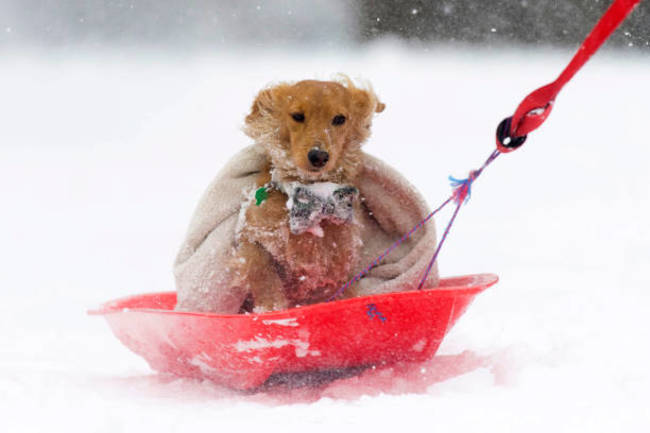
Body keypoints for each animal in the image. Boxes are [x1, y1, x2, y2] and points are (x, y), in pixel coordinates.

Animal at [232, 77, 382, 310]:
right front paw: (271, 306)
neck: (315, 195)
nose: (318, 156)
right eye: (297, 116)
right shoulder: (251, 234)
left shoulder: (339, 260)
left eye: (339, 119)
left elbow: (343, 286)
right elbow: (261, 268)